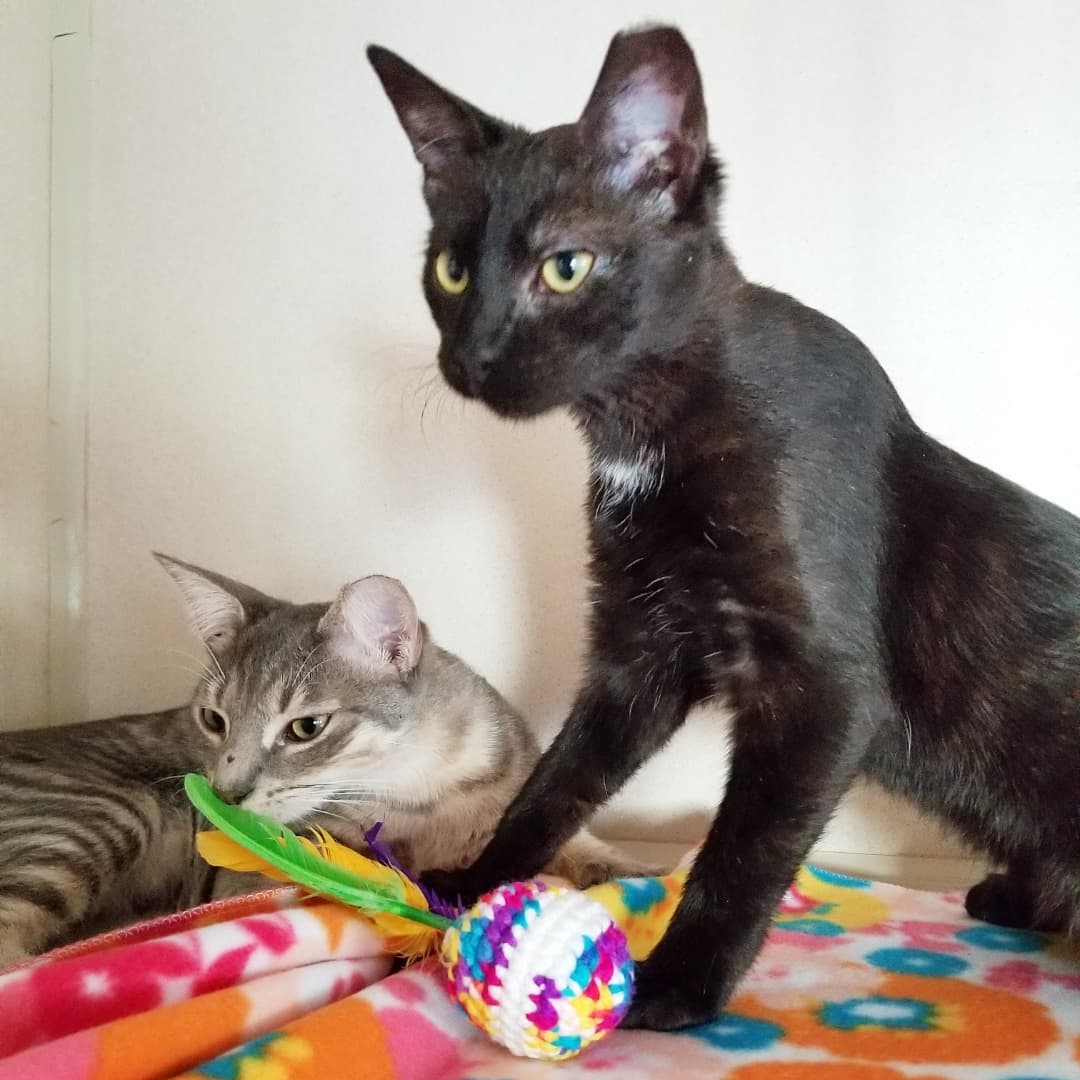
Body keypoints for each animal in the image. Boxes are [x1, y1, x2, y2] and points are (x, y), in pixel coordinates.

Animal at [0, 557, 635, 963]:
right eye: (213, 720)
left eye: (306, 728)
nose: (225, 794)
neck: (428, 790)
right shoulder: (263, 867)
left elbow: (569, 841)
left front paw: (620, 868)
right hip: (100, 818)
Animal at [367, 27, 1075, 1028]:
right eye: (451, 270)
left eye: (566, 266)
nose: (470, 357)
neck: (639, 426)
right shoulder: (637, 649)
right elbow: (555, 781)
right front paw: (473, 883)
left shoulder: (822, 690)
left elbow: (741, 850)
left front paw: (679, 982)